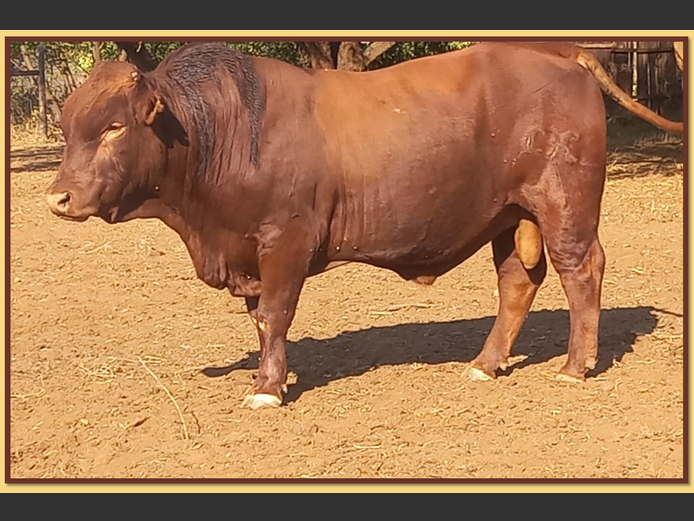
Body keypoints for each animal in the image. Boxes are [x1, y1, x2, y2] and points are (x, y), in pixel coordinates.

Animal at [46, 41, 684, 409]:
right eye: (69, 127)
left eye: (113, 127)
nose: (58, 197)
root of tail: (560, 54)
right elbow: (260, 320)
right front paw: (271, 376)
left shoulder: (286, 240)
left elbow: (275, 314)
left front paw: (266, 391)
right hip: (510, 215)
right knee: (517, 283)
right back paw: (485, 364)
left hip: (564, 205)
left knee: (583, 271)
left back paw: (576, 368)